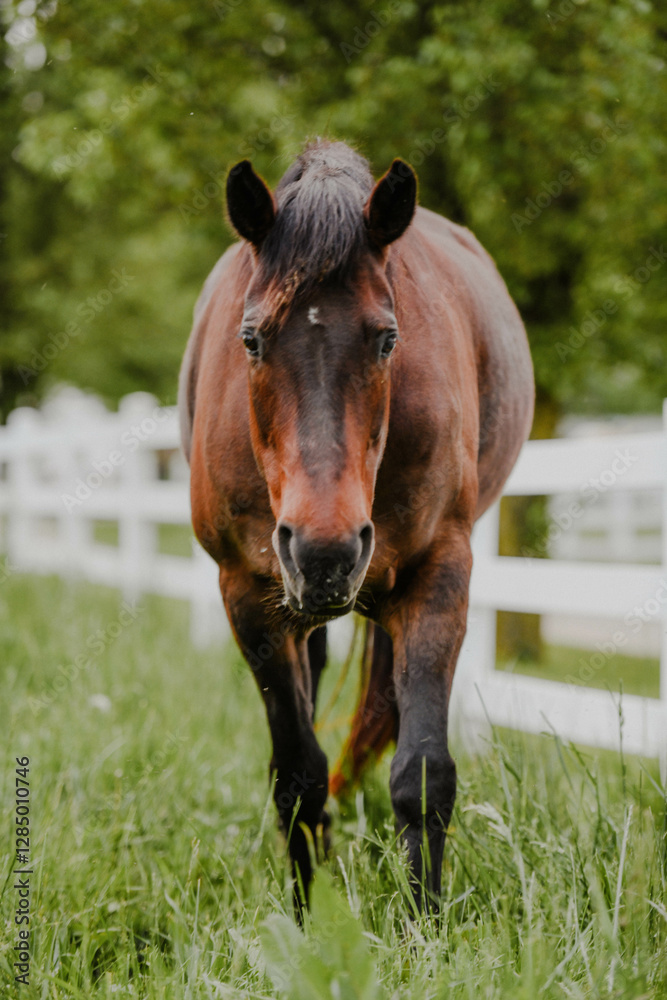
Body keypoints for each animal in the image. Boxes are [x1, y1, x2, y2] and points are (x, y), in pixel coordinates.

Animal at [179, 139, 534, 913]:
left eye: (387, 338)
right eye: (250, 339)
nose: (325, 552)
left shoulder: (440, 571)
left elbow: (423, 772)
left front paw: (423, 921)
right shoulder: (247, 595)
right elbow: (297, 776)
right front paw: (305, 915)